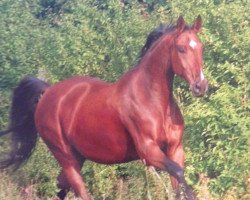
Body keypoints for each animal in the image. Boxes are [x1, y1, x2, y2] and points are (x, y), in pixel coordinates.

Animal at [0, 16, 207, 199]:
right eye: (181, 48)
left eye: (201, 47)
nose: (200, 86)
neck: (152, 100)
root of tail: (47, 92)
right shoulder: (148, 152)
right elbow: (179, 173)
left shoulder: (175, 149)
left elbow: (178, 183)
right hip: (65, 157)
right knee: (78, 190)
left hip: (78, 157)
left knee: (60, 188)